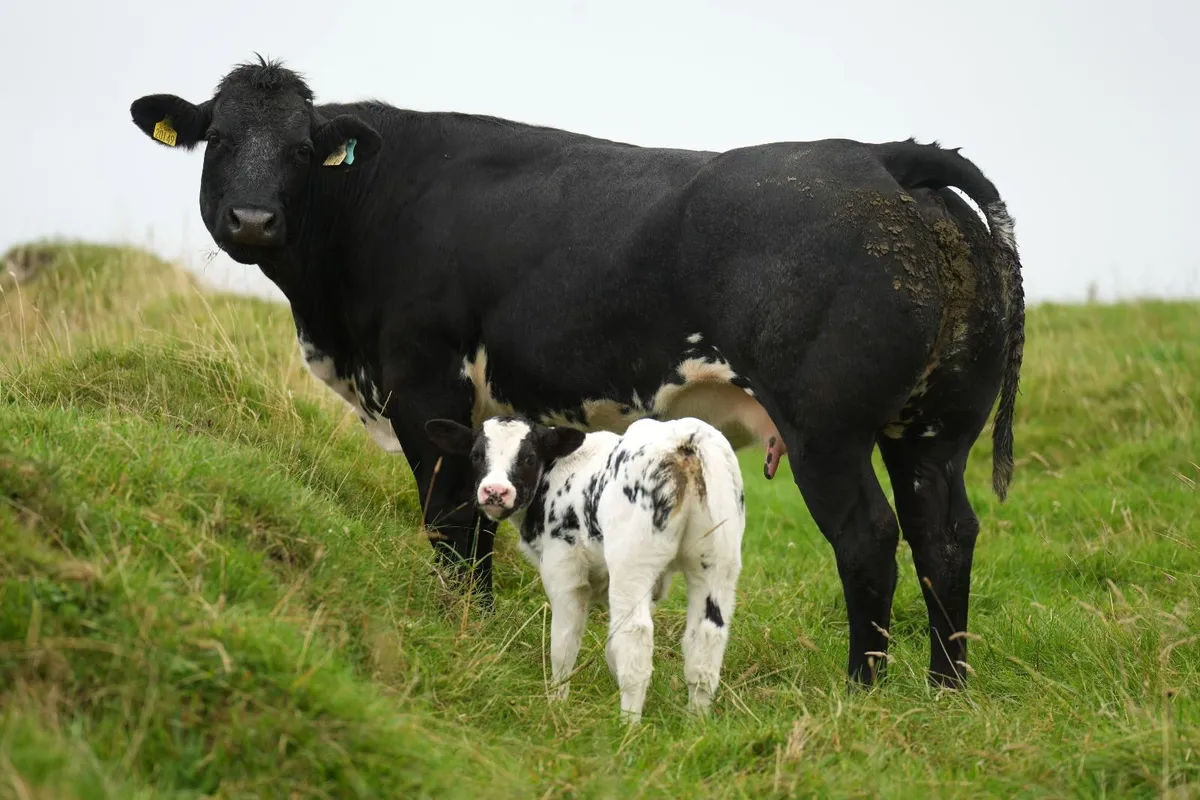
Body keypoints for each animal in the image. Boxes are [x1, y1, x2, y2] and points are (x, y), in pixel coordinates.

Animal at [129, 55, 1025, 688]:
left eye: (301, 149)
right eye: (220, 140)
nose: (252, 218)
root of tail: (881, 157)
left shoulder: (423, 383)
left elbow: (450, 520)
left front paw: (461, 625)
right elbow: (475, 520)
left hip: (826, 428)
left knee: (870, 537)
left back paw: (861, 690)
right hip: (935, 429)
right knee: (945, 535)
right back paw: (945, 690)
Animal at [425, 413, 746, 723]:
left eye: (529, 457)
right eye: (476, 454)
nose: (495, 491)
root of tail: (684, 439)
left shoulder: (564, 573)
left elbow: (564, 646)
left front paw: (556, 705)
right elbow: (610, 649)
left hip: (632, 564)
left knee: (636, 638)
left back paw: (628, 726)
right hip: (717, 564)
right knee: (706, 641)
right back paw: (696, 724)